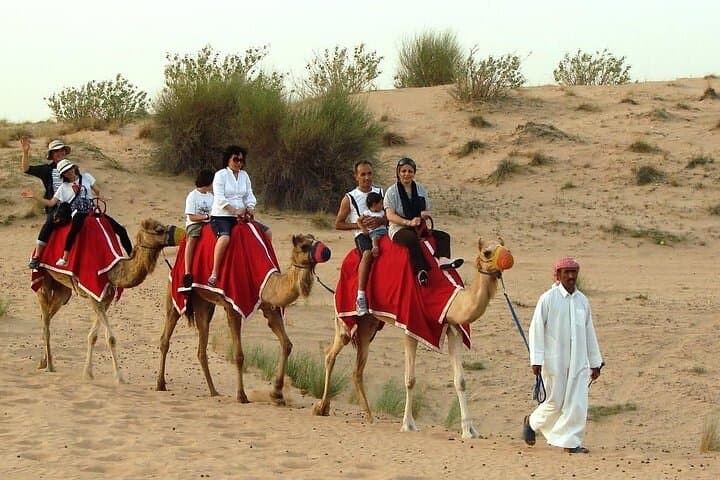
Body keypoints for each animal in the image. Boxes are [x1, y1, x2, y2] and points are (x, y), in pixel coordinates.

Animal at [33, 218, 181, 383]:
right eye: (158, 230)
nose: (179, 234)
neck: (112, 270)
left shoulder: (106, 298)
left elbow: (93, 336)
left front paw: (88, 373)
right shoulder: (94, 296)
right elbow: (110, 338)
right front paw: (120, 378)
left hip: (63, 291)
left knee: (47, 315)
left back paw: (43, 361)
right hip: (43, 281)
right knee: (46, 320)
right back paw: (50, 366)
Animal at [156, 233, 330, 405]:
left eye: (315, 239)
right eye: (304, 246)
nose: (326, 251)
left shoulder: (269, 307)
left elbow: (287, 345)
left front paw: (277, 394)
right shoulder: (233, 308)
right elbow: (239, 355)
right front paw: (242, 396)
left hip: (204, 303)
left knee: (201, 347)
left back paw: (214, 391)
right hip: (175, 292)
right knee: (166, 336)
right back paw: (160, 384)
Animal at [313, 237, 514, 439]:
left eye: (505, 247)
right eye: (487, 252)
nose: (508, 258)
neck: (448, 299)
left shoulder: (454, 328)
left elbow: (461, 381)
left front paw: (469, 431)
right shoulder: (411, 326)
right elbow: (410, 379)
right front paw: (408, 425)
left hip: (368, 325)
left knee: (357, 369)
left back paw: (369, 416)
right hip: (345, 316)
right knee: (331, 353)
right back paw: (321, 407)